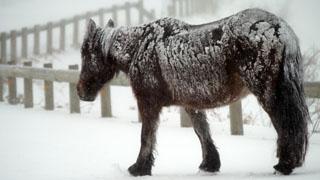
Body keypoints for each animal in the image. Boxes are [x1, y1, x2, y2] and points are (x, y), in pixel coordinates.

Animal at [76, 8, 308, 176]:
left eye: (86, 52)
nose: (80, 91)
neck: (139, 47)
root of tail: (280, 29)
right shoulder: (191, 104)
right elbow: (202, 132)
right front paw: (210, 164)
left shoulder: (148, 104)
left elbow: (146, 136)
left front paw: (139, 168)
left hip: (268, 94)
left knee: (286, 127)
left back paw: (285, 165)